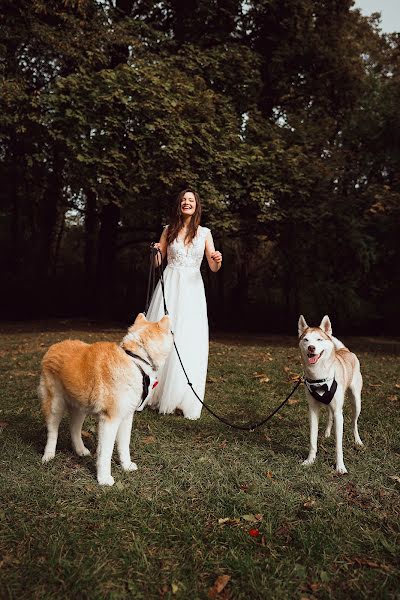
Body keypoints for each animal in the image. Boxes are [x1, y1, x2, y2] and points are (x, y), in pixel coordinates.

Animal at [38, 312, 173, 486]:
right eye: (171, 332)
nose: (174, 334)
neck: (135, 359)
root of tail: (54, 346)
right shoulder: (109, 420)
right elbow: (105, 452)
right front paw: (103, 479)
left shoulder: (126, 417)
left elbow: (124, 445)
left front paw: (126, 466)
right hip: (55, 404)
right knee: (52, 431)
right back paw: (48, 455)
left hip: (80, 407)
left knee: (74, 428)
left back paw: (80, 450)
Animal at [296, 314, 362, 474]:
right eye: (306, 339)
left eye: (319, 339)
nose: (311, 347)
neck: (319, 376)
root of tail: (345, 350)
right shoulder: (313, 410)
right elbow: (313, 439)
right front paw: (310, 461)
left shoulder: (339, 413)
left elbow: (339, 445)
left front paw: (340, 467)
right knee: (330, 415)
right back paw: (326, 433)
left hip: (356, 402)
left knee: (354, 422)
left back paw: (358, 441)